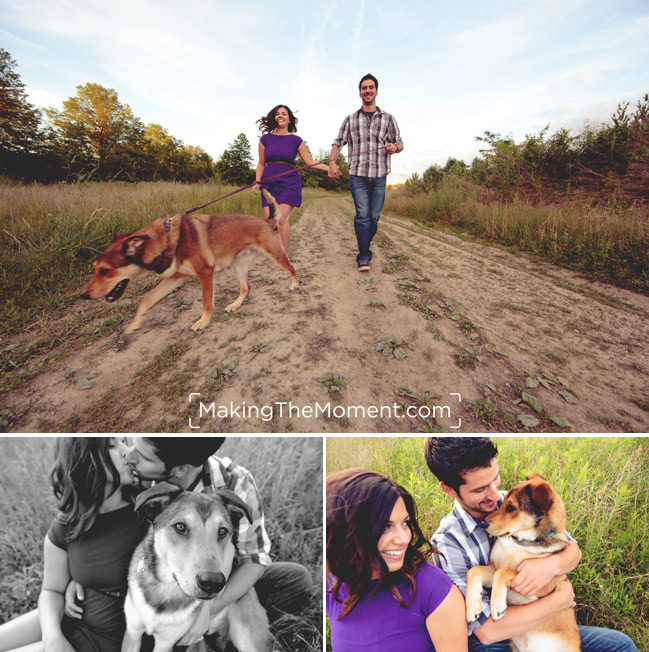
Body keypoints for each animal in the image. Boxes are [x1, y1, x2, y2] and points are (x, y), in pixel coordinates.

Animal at [81, 187, 302, 332]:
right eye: (95, 268)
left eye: (105, 270)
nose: (84, 295)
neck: (166, 239)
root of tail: (266, 221)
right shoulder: (175, 277)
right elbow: (147, 299)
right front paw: (136, 323)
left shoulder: (205, 273)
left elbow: (206, 302)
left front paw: (203, 322)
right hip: (239, 264)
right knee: (246, 288)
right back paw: (235, 304)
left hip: (275, 256)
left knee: (291, 267)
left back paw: (295, 284)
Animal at [120, 482, 272, 652]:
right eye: (180, 526)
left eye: (222, 531)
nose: (213, 582)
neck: (164, 588)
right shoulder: (132, 633)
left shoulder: (165, 642)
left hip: (249, 638)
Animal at [464, 474, 580, 652]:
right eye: (503, 501)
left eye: (512, 507)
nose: (483, 524)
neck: (519, 542)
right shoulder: (492, 568)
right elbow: (474, 570)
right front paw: (472, 609)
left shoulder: (539, 587)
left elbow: (504, 571)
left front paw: (497, 606)